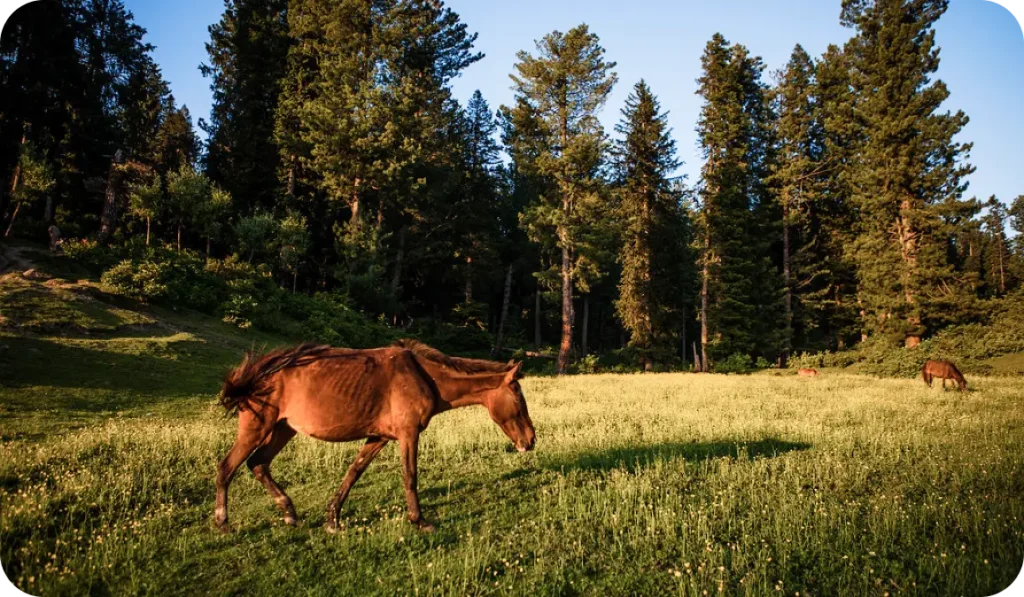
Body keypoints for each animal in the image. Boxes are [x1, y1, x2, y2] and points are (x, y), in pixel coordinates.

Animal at [214, 339, 535, 534]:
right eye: (518, 395)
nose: (531, 440)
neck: (423, 376)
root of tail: (260, 371)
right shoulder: (408, 434)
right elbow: (410, 476)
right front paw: (419, 520)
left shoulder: (378, 438)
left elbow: (353, 473)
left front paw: (333, 518)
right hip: (257, 429)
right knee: (227, 467)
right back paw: (223, 521)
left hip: (283, 429)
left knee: (258, 464)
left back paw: (289, 512)